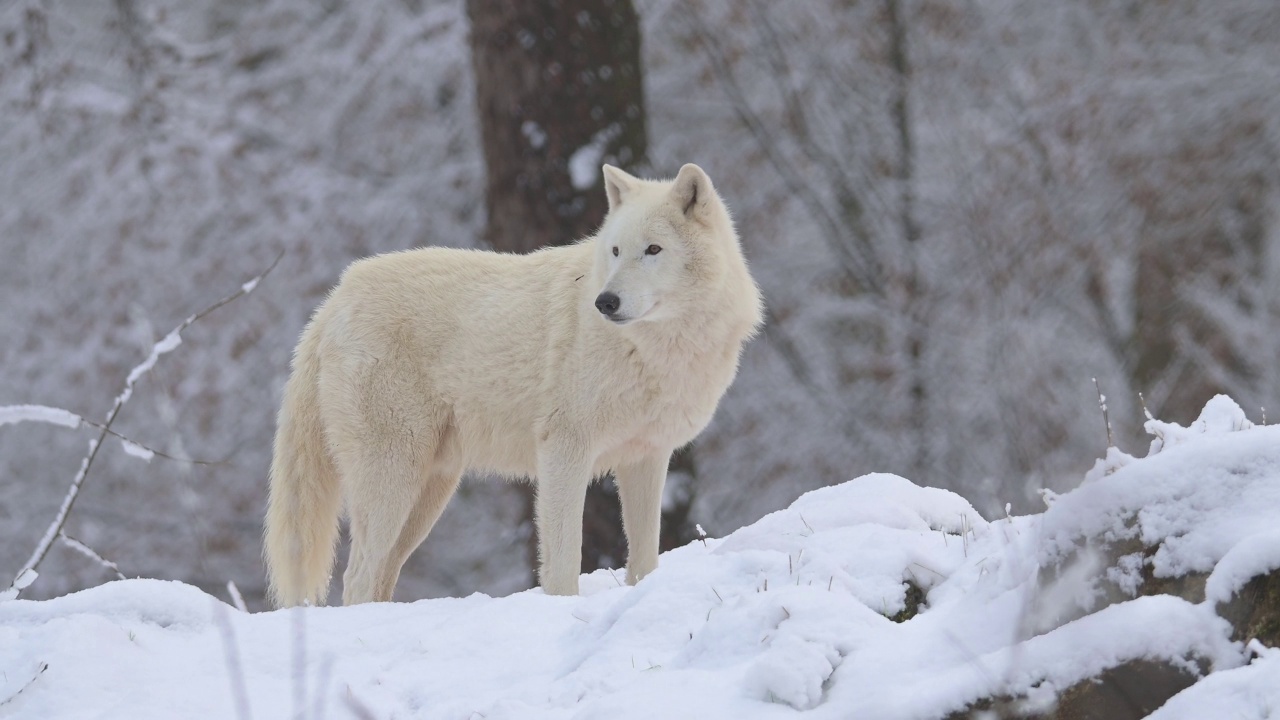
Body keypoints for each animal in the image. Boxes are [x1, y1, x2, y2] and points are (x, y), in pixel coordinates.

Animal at [261, 159, 757, 602]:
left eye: (653, 250)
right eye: (615, 251)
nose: (605, 302)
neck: (655, 349)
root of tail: (334, 300)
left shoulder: (647, 458)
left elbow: (645, 559)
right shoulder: (564, 451)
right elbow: (563, 562)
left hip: (429, 492)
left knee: (379, 577)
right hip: (393, 480)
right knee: (357, 577)